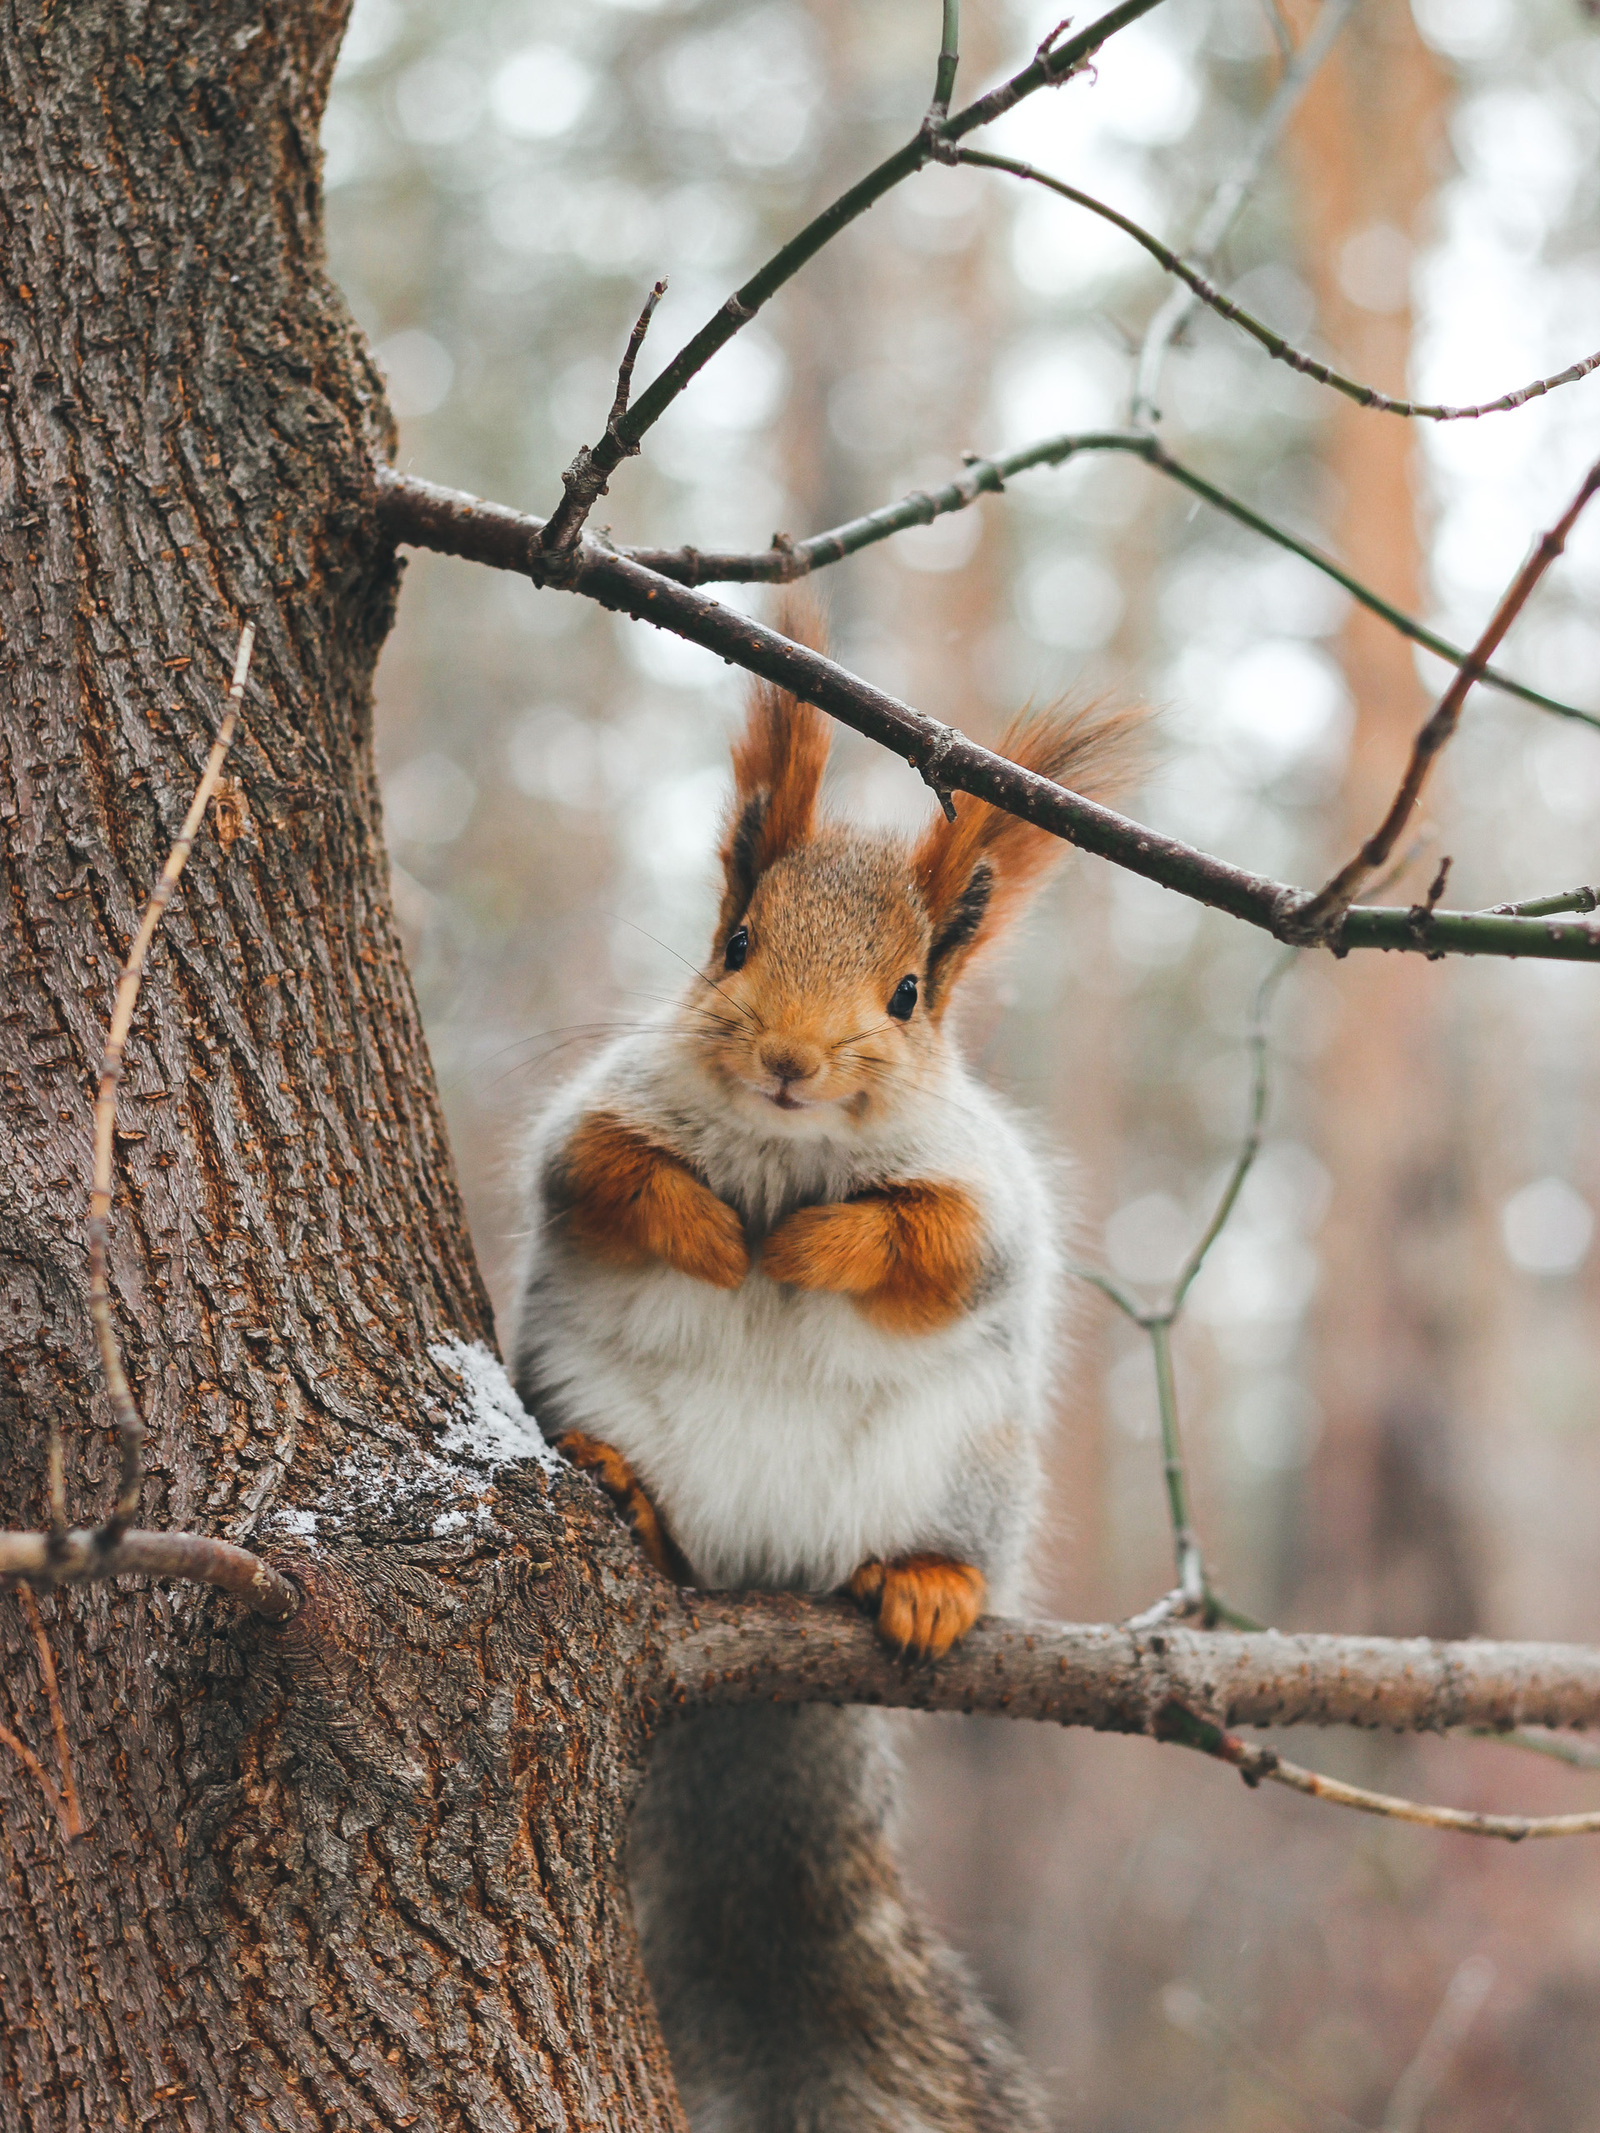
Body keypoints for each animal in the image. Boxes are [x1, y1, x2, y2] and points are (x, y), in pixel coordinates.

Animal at [509, 601, 1143, 2133]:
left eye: (908, 995)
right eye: (733, 943)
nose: (791, 1062)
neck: (784, 1150)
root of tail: (762, 1578)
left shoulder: (983, 1196)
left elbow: (938, 1248)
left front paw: (811, 1249)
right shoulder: (593, 1119)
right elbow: (603, 1177)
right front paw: (704, 1230)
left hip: (965, 1473)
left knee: (934, 1543)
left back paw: (925, 1584)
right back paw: (625, 1489)